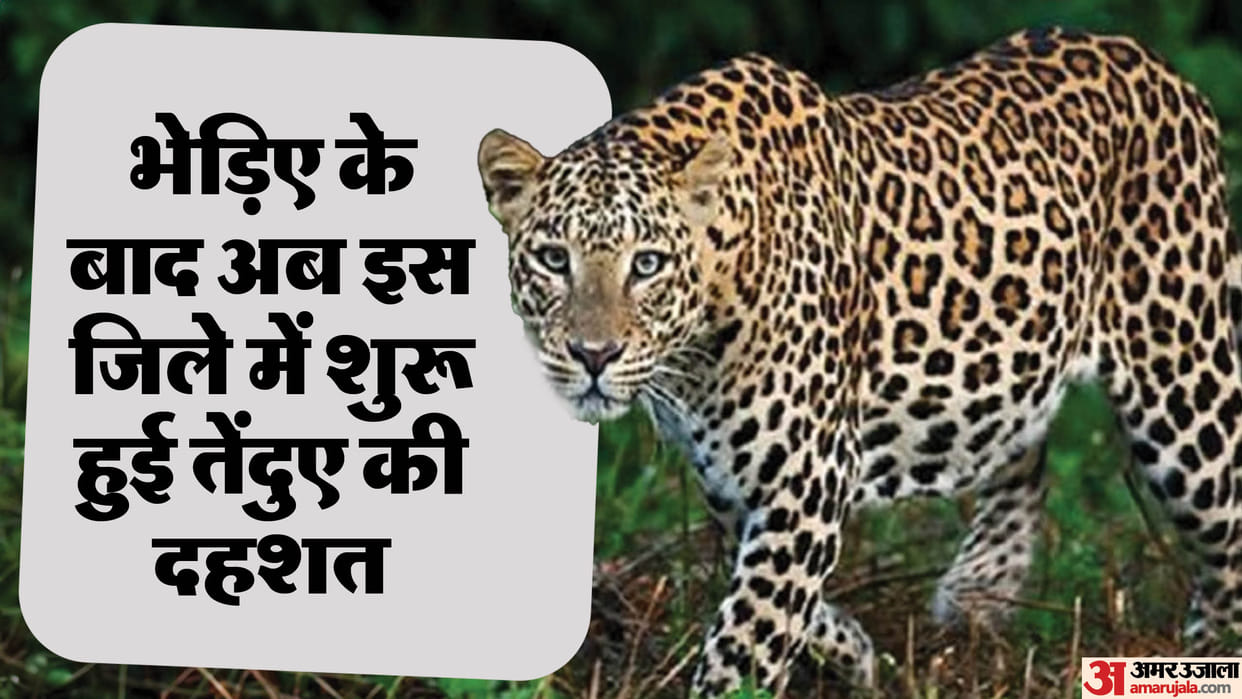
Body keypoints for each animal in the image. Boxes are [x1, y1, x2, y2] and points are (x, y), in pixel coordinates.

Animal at [476, 26, 1242, 697]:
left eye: (648, 264)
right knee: (1021, 445)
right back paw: (981, 587)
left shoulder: (804, 478)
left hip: (1184, 387)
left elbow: (748, 633)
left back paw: (1209, 643)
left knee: (1223, 514)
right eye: (553, 259)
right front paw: (854, 653)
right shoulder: (734, 481)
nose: (593, 354)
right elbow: (781, 599)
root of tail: (1155, 64)